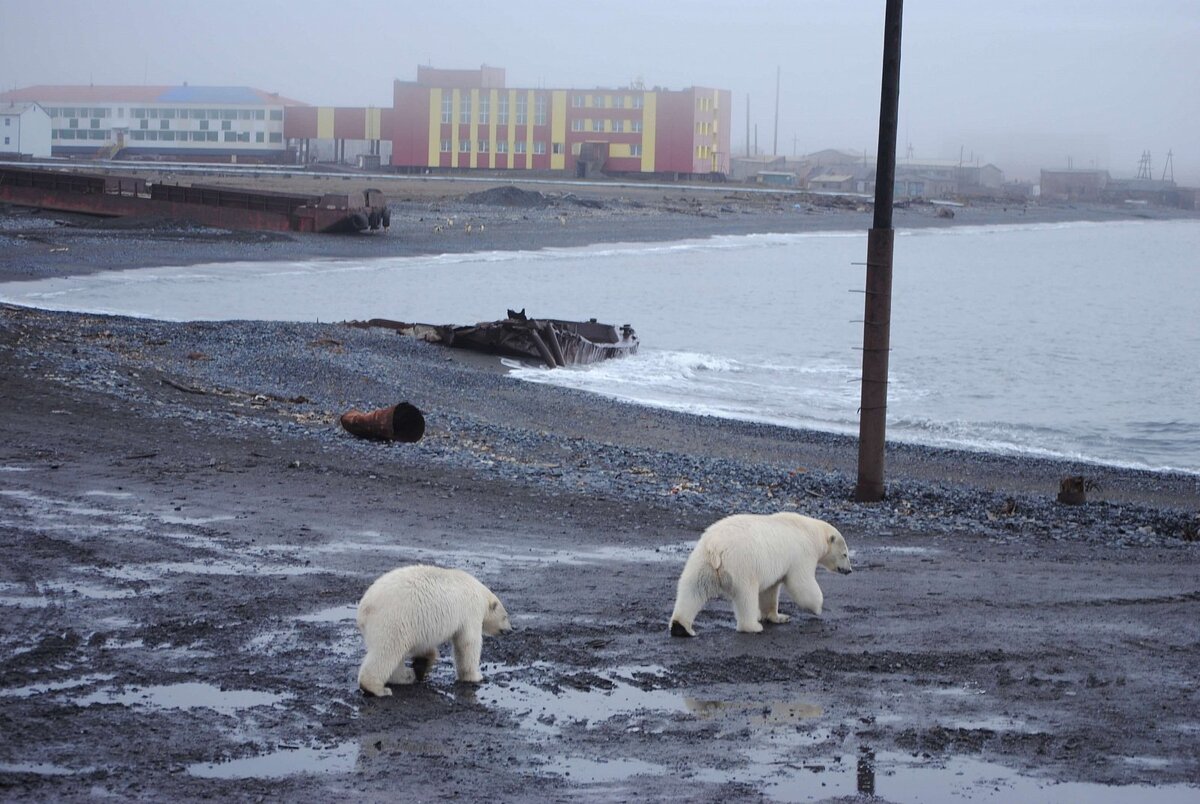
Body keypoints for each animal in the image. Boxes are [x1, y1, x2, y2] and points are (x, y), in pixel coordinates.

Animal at [350, 564, 511, 696]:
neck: (480, 593)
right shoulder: (470, 611)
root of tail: (363, 609)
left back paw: (408, 676)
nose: (510, 630)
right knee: (387, 651)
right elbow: (467, 643)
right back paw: (377, 688)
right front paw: (475, 676)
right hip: (393, 620)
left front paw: (423, 662)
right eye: (505, 616)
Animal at [667, 513, 854, 638]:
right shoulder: (801, 553)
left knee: (693, 589)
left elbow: (769, 591)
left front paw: (779, 617)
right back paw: (753, 626)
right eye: (845, 554)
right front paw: (818, 607)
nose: (849, 570)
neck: (811, 531)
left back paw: (680, 627)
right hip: (741, 565)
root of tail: (716, 547)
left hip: (702, 561)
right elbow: (801, 582)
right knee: (746, 595)